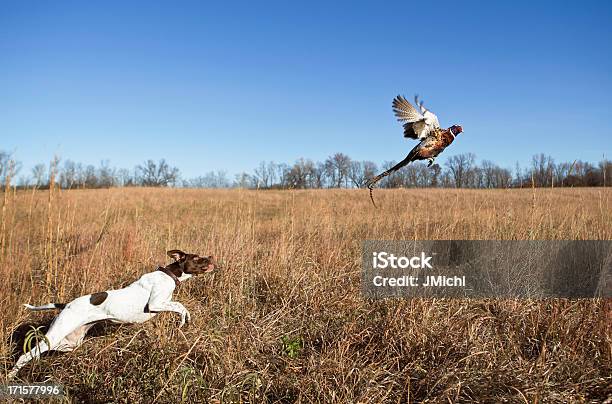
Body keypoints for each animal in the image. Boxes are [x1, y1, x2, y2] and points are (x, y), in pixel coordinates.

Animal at [8, 249, 216, 378]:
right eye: (196, 258)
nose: (212, 257)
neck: (169, 274)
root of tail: (66, 304)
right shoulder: (155, 304)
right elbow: (180, 306)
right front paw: (183, 319)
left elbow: (179, 306)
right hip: (57, 333)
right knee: (25, 355)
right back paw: (10, 375)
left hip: (70, 342)